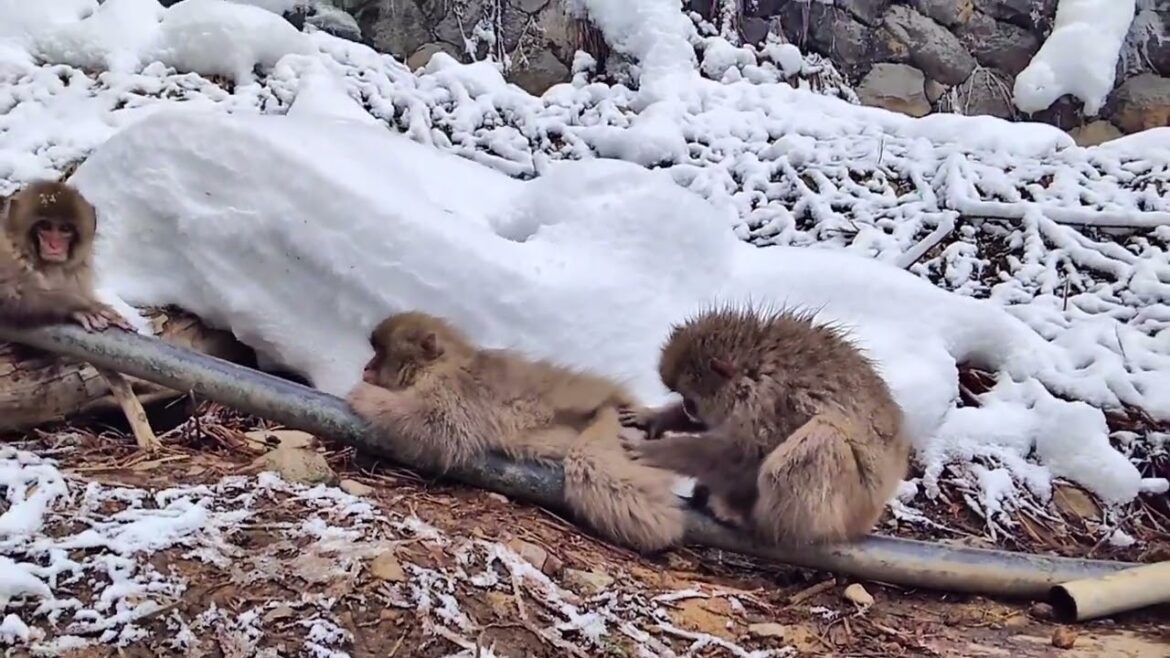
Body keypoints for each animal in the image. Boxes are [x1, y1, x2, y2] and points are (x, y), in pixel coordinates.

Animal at [0, 180, 133, 332]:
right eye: (45, 226)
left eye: (65, 229)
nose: (54, 245)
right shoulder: (6, 256)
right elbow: (9, 298)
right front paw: (84, 306)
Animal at [346, 311, 687, 553]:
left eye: (379, 353)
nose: (365, 368)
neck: (442, 365)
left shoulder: (456, 389)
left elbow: (441, 428)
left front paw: (365, 397)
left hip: (616, 430)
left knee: (591, 467)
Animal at [619, 305, 912, 546]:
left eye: (691, 401)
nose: (688, 410)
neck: (754, 370)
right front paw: (655, 417)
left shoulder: (767, 404)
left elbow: (741, 455)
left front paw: (657, 452)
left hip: (851, 506)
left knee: (820, 439)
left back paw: (749, 520)